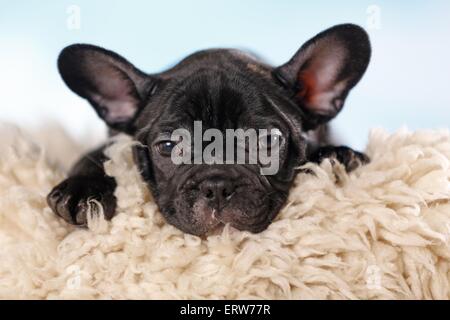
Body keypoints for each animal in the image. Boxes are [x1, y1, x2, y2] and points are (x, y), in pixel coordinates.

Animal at [47, 23, 370, 236]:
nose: (216, 187)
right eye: (168, 146)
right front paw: (82, 190)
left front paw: (337, 156)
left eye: (267, 141)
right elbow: (93, 155)